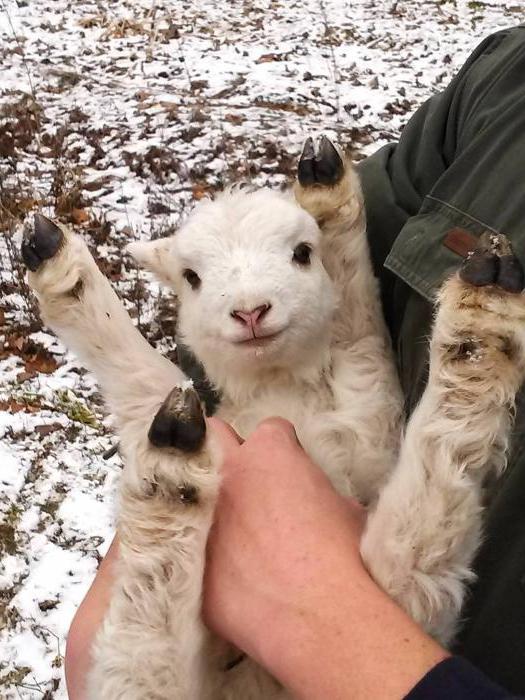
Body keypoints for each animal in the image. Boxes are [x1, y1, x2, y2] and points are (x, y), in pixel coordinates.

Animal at [22, 134, 524, 696]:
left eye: (302, 254)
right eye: (191, 277)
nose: (250, 312)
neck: (282, 387)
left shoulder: (373, 440)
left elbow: (358, 328)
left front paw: (332, 202)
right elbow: (142, 380)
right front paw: (64, 275)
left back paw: (482, 318)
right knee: (141, 660)